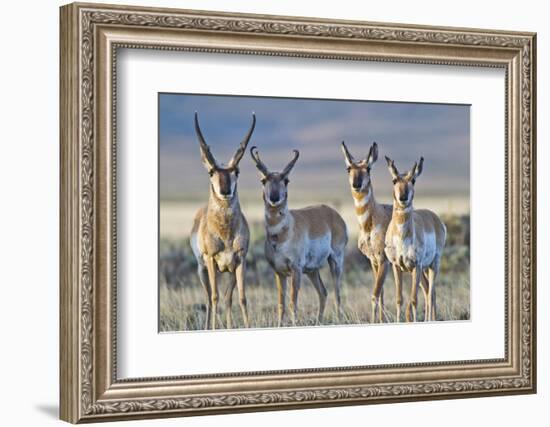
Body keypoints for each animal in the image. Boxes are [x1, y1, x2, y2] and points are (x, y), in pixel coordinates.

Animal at [190, 112, 256, 330]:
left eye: (237, 171)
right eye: (211, 172)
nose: (225, 191)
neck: (225, 233)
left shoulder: (240, 261)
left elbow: (241, 298)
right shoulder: (211, 261)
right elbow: (215, 297)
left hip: (227, 271)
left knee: (227, 298)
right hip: (203, 270)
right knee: (210, 298)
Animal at [251, 147, 348, 328]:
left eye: (286, 180)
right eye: (263, 180)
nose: (274, 198)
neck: (281, 235)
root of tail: (333, 213)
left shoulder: (296, 269)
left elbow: (292, 302)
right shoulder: (279, 272)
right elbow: (281, 303)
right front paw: (279, 325)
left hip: (335, 262)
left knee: (337, 293)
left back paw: (338, 319)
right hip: (312, 270)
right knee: (323, 292)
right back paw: (318, 322)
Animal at [340, 142, 396, 322]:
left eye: (369, 168)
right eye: (349, 168)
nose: (356, 184)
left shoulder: (383, 261)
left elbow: (375, 295)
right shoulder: (373, 261)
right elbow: (381, 294)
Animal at [386, 156, 446, 320]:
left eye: (413, 180)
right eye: (394, 180)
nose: (403, 197)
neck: (402, 238)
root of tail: (434, 218)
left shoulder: (416, 266)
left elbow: (413, 300)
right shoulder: (396, 266)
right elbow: (399, 299)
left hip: (433, 265)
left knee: (431, 293)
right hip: (424, 270)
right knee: (428, 291)